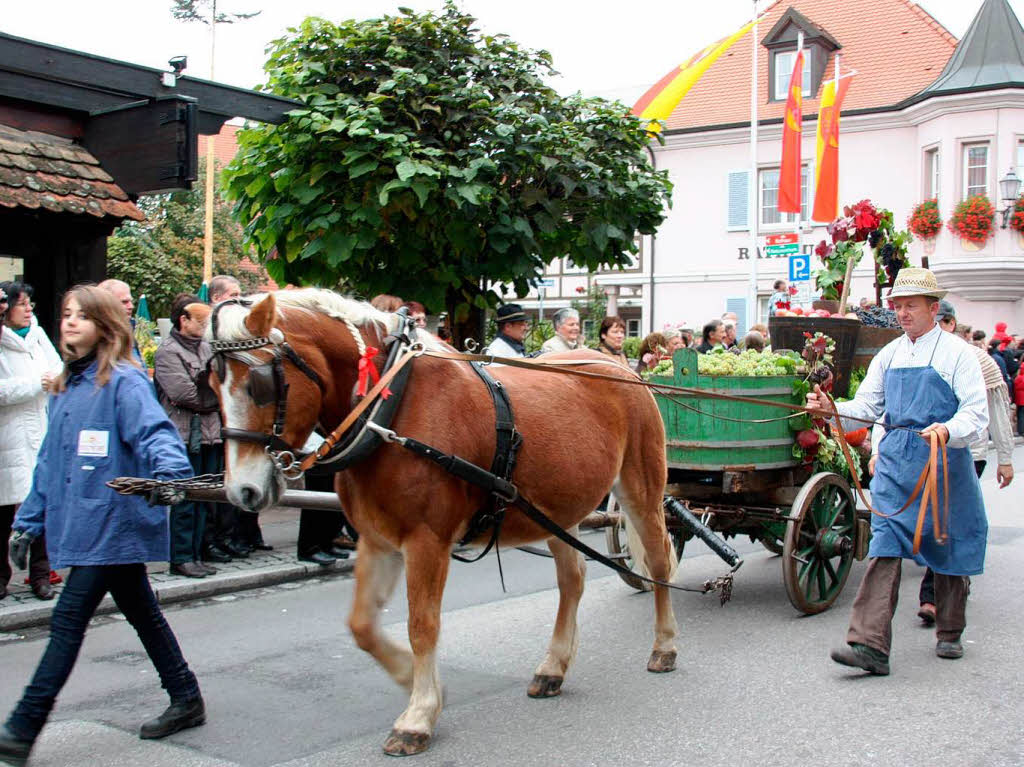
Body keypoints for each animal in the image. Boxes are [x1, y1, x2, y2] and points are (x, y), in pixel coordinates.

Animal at [205, 290, 679, 757]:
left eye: (259, 384)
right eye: (212, 385)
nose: (242, 491)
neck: (389, 409)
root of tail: (619, 366)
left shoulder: (426, 542)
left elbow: (422, 626)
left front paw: (418, 715)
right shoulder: (377, 540)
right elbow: (362, 626)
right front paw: (411, 681)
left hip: (640, 489)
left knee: (658, 563)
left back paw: (664, 646)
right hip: (558, 508)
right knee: (573, 579)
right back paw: (553, 667)